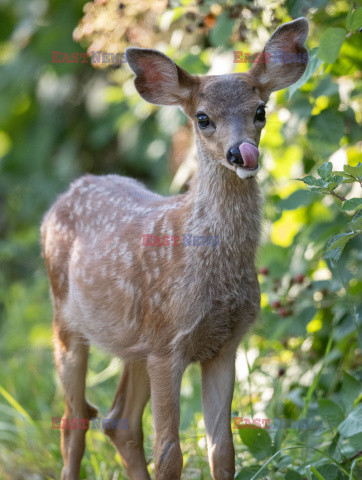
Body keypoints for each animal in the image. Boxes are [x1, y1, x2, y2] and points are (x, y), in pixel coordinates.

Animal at [41, 16, 308, 480]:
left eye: (260, 111)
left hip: (134, 342)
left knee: (119, 420)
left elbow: (222, 450)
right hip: (66, 324)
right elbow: (170, 453)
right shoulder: (169, 345)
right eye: (202, 118)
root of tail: (68, 191)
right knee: (74, 420)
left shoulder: (223, 345)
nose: (241, 153)